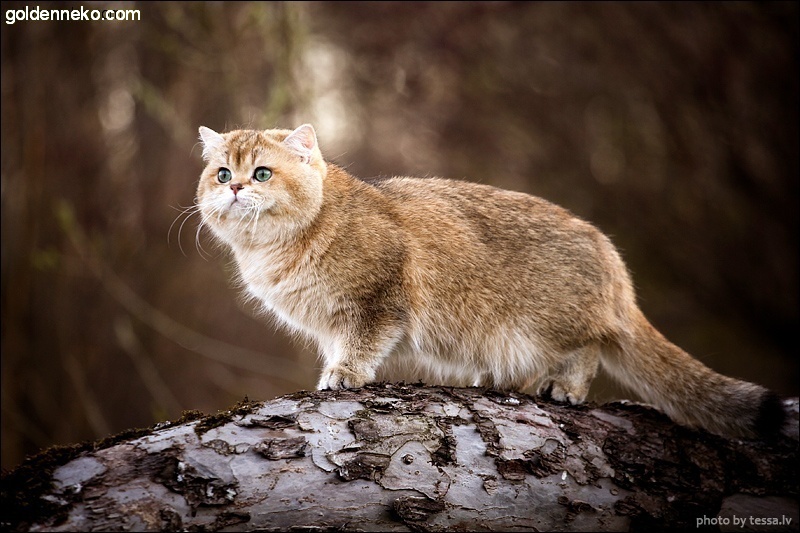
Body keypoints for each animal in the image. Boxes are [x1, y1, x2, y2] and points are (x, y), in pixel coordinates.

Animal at [197, 122, 784, 438]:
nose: (235, 189)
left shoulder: (380, 300)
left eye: (262, 173)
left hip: (552, 324)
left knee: (588, 347)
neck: (276, 249)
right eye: (222, 173)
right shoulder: (330, 320)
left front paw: (344, 375)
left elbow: (360, 344)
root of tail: (610, 256)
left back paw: (564, 387)